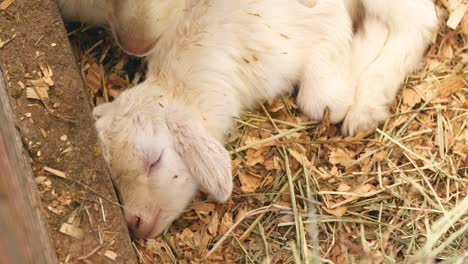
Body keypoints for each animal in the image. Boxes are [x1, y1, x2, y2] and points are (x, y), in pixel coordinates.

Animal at [59, 0, 438, 238]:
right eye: (113, 179)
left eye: (154, 161)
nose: (135, 224)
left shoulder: (318, 24)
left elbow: (323, 101)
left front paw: (355, 79)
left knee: (420, 18)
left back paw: (367, 101)